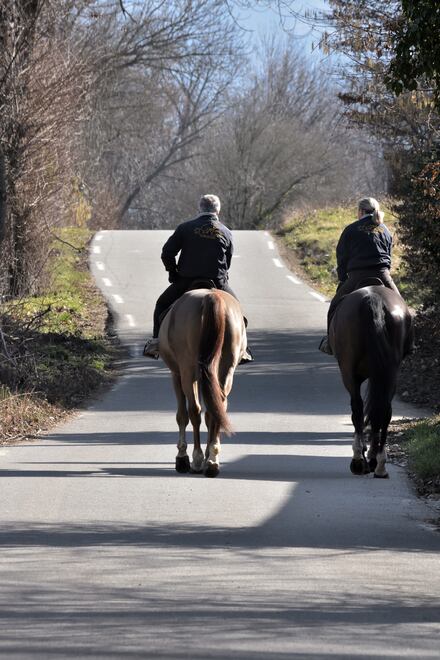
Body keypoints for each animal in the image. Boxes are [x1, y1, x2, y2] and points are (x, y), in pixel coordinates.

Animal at [158, 288, 248, 474]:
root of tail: (211, 296)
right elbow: (209, 414)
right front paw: (208, 455)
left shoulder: (176, 374)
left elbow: (182, 415)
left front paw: (182, 456)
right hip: (225, 369)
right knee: (219, 405)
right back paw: (212, 459)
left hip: (187, 371)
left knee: (194, 410)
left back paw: (197, 458)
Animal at [330, 286, 412, 476]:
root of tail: (373, 298)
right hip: (390, 372)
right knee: (384, 409)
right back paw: (379, 463)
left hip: (349, 372)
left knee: (358, 409)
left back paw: (359, 460)